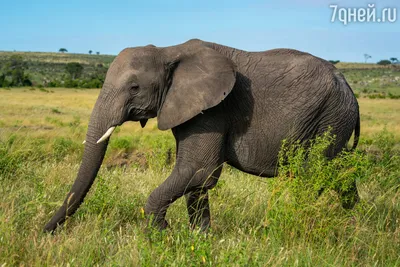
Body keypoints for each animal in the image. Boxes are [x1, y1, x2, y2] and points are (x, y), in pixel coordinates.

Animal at [43, 38, 360, 233]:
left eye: (134, 88)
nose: (44, 231)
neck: (168, 51)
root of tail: (350, 88)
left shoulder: (214, 110)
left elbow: (197, 171)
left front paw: (163, 235)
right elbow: (196, 179)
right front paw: (199, 238)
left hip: (329, 118)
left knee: (313, 175)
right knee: (339, 174)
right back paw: (352, 222)